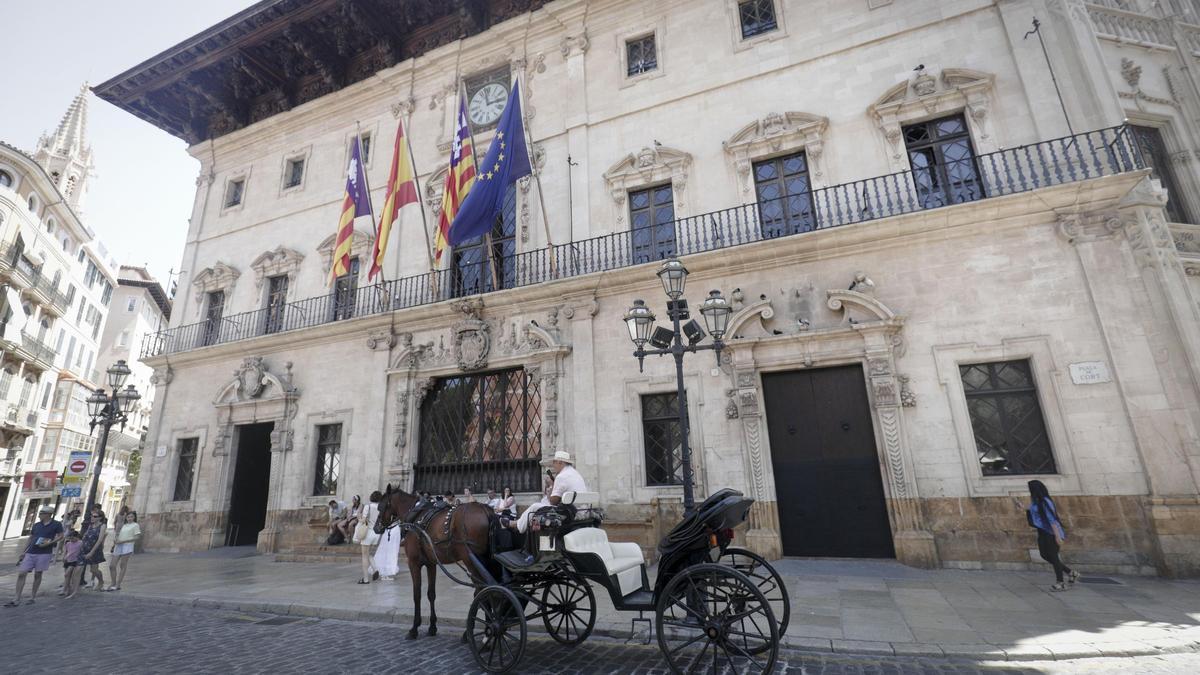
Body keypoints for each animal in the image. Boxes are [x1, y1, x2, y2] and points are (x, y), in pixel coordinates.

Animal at [369, 482, 492, 634]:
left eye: (380, 507)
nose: (376, 528)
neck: (416, 516)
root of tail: (486, 510)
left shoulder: (413, 562)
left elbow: (417, 594)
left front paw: (414, 627)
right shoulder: (431, 563)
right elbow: (431, 593)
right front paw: (432, 626)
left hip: (471, 561)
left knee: (482, 590)